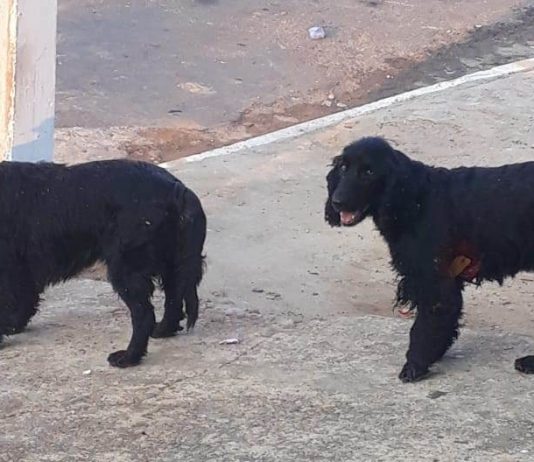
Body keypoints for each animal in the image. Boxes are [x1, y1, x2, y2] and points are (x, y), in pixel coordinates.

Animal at [0, 159, 206, 367]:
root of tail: (177, 189)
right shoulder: (20, 270)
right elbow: (25, 299)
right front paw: (13, 325)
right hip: (169, 263)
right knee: (173, 298)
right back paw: (163, 330)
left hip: (125, 269)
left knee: (144, 315)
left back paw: (128, 357)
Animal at [325, 136, 534, 382]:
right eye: (343, 167)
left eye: (369, 171)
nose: (337, 202)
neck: (414, 199)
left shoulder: (435, 284)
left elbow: (424, 329)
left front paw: (415, 365)